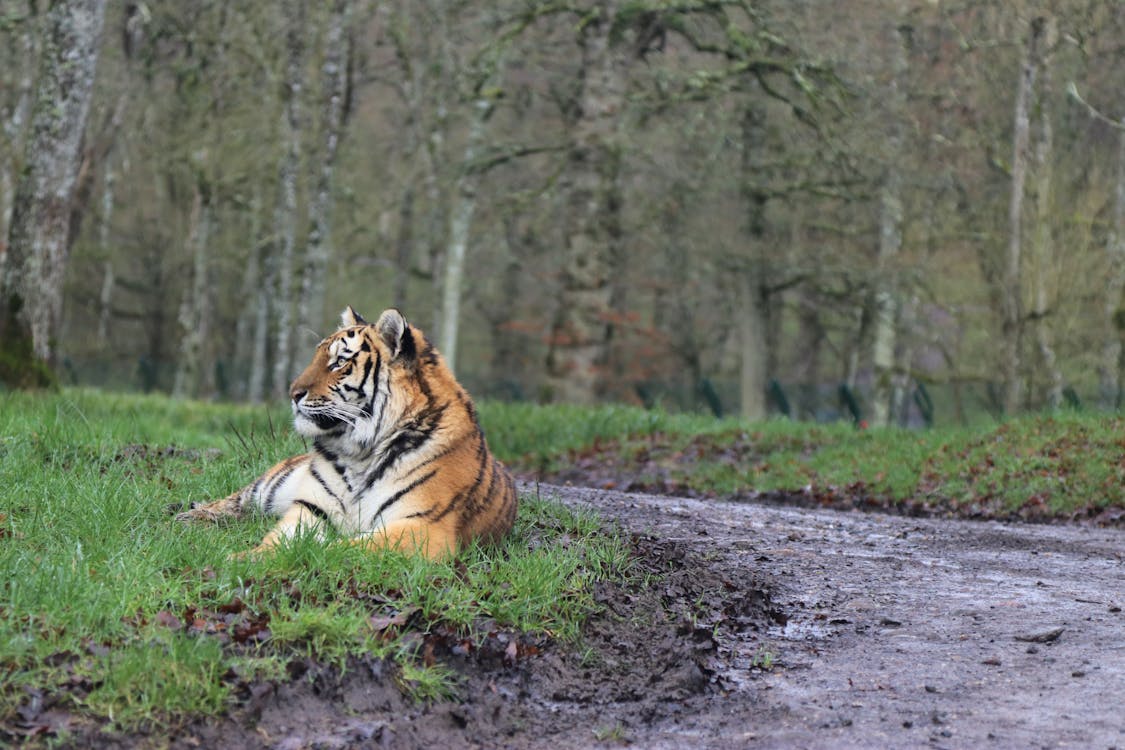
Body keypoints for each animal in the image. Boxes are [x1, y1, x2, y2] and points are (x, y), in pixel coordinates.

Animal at [175, 308, 517, 559]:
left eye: (339, 361)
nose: (292, 393)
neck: (361, 452)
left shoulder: (423, 526)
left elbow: (347, 549)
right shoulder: (312, 509)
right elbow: (280, 540)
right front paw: (249, 557)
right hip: (269, 486)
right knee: (237, 500)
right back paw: (189, 517)